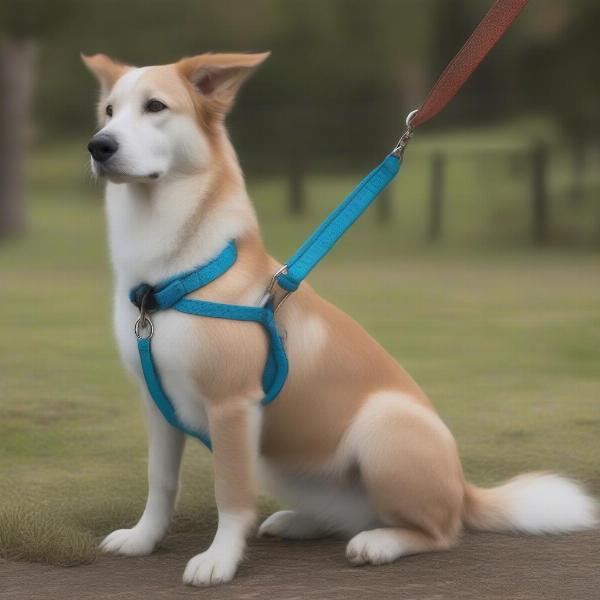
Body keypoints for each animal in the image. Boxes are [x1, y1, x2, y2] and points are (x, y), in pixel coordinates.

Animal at [82, 51, 596, 584]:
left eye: (155, 106)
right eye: (108, 111)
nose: (99, 146)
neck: (174, 279)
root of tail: (463, 489)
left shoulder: (232, 408)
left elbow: (232, 495)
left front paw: (219, 560)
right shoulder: (157, 402)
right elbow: (160, 482)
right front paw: (142, 539)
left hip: (381, 427)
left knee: (438, 531)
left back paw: (380, 544)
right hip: (281, 461)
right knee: (355, 514)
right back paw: (299, 522)